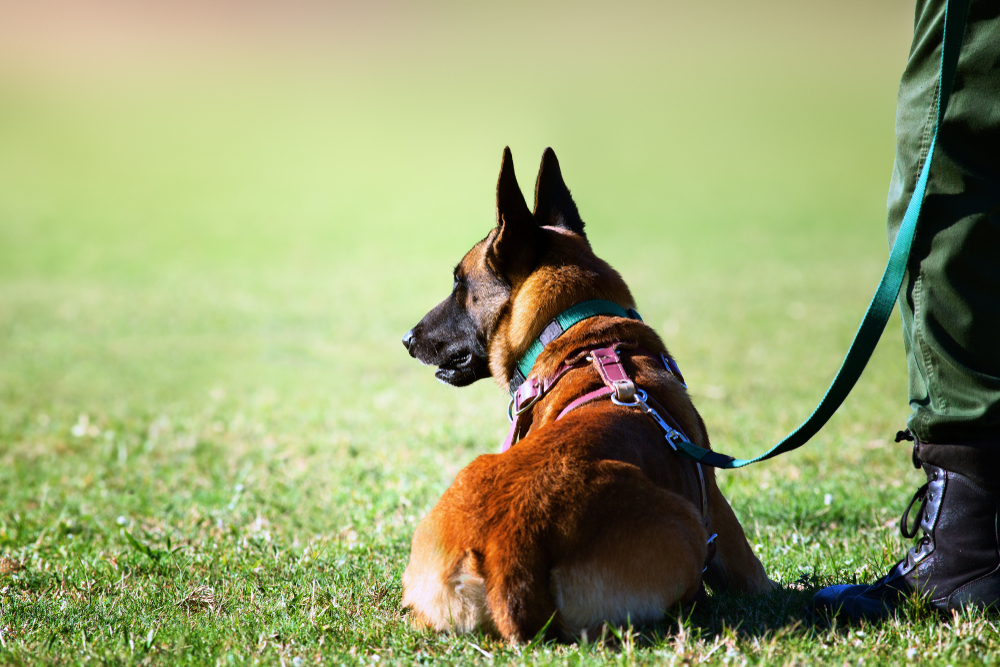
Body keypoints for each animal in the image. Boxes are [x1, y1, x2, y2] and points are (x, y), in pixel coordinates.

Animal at [400, 149, 772, 644]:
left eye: (460, 285)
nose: (407, 339)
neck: (581, 333)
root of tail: (511, 550)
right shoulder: (723, 522)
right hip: (691, 527)